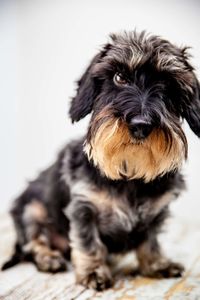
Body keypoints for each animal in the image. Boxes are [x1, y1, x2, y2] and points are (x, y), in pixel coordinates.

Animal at [2, 31, 200, 290]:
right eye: (119, 77)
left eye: (168, 83)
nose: (141, 125)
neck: (129, 173)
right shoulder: (82, 208)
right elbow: (89, 242)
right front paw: (94, 271)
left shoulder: (157, 213)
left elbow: (150, 241)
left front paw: (157, 264)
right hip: (30, 209)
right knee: (33, 243)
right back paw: (49, 258)